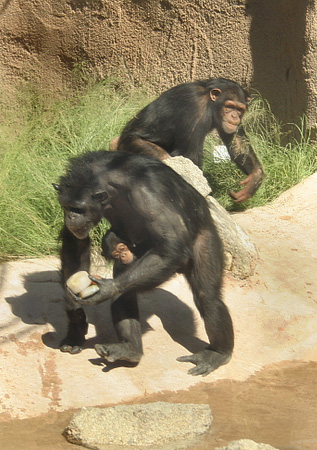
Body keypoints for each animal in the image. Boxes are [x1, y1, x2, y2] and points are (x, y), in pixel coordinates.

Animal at [53, 150, 233, 376]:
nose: (71, 216)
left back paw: (217, 353)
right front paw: (75, 322)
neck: (108, 179)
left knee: (207, 296)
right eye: (67, 207)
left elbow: (171, 241)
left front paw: (107, 289)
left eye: (79, 209)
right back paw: (129, 350)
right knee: (125, 290)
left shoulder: (149, 194)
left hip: (201, 239)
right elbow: (75, 240)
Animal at [110, 78, 262, 203]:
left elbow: (237, 142)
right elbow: (190, 156)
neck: (210, 103)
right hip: (132, 145)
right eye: (229, 106)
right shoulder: (196, 108)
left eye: (239, 109)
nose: (234, 116)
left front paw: (254, 178)